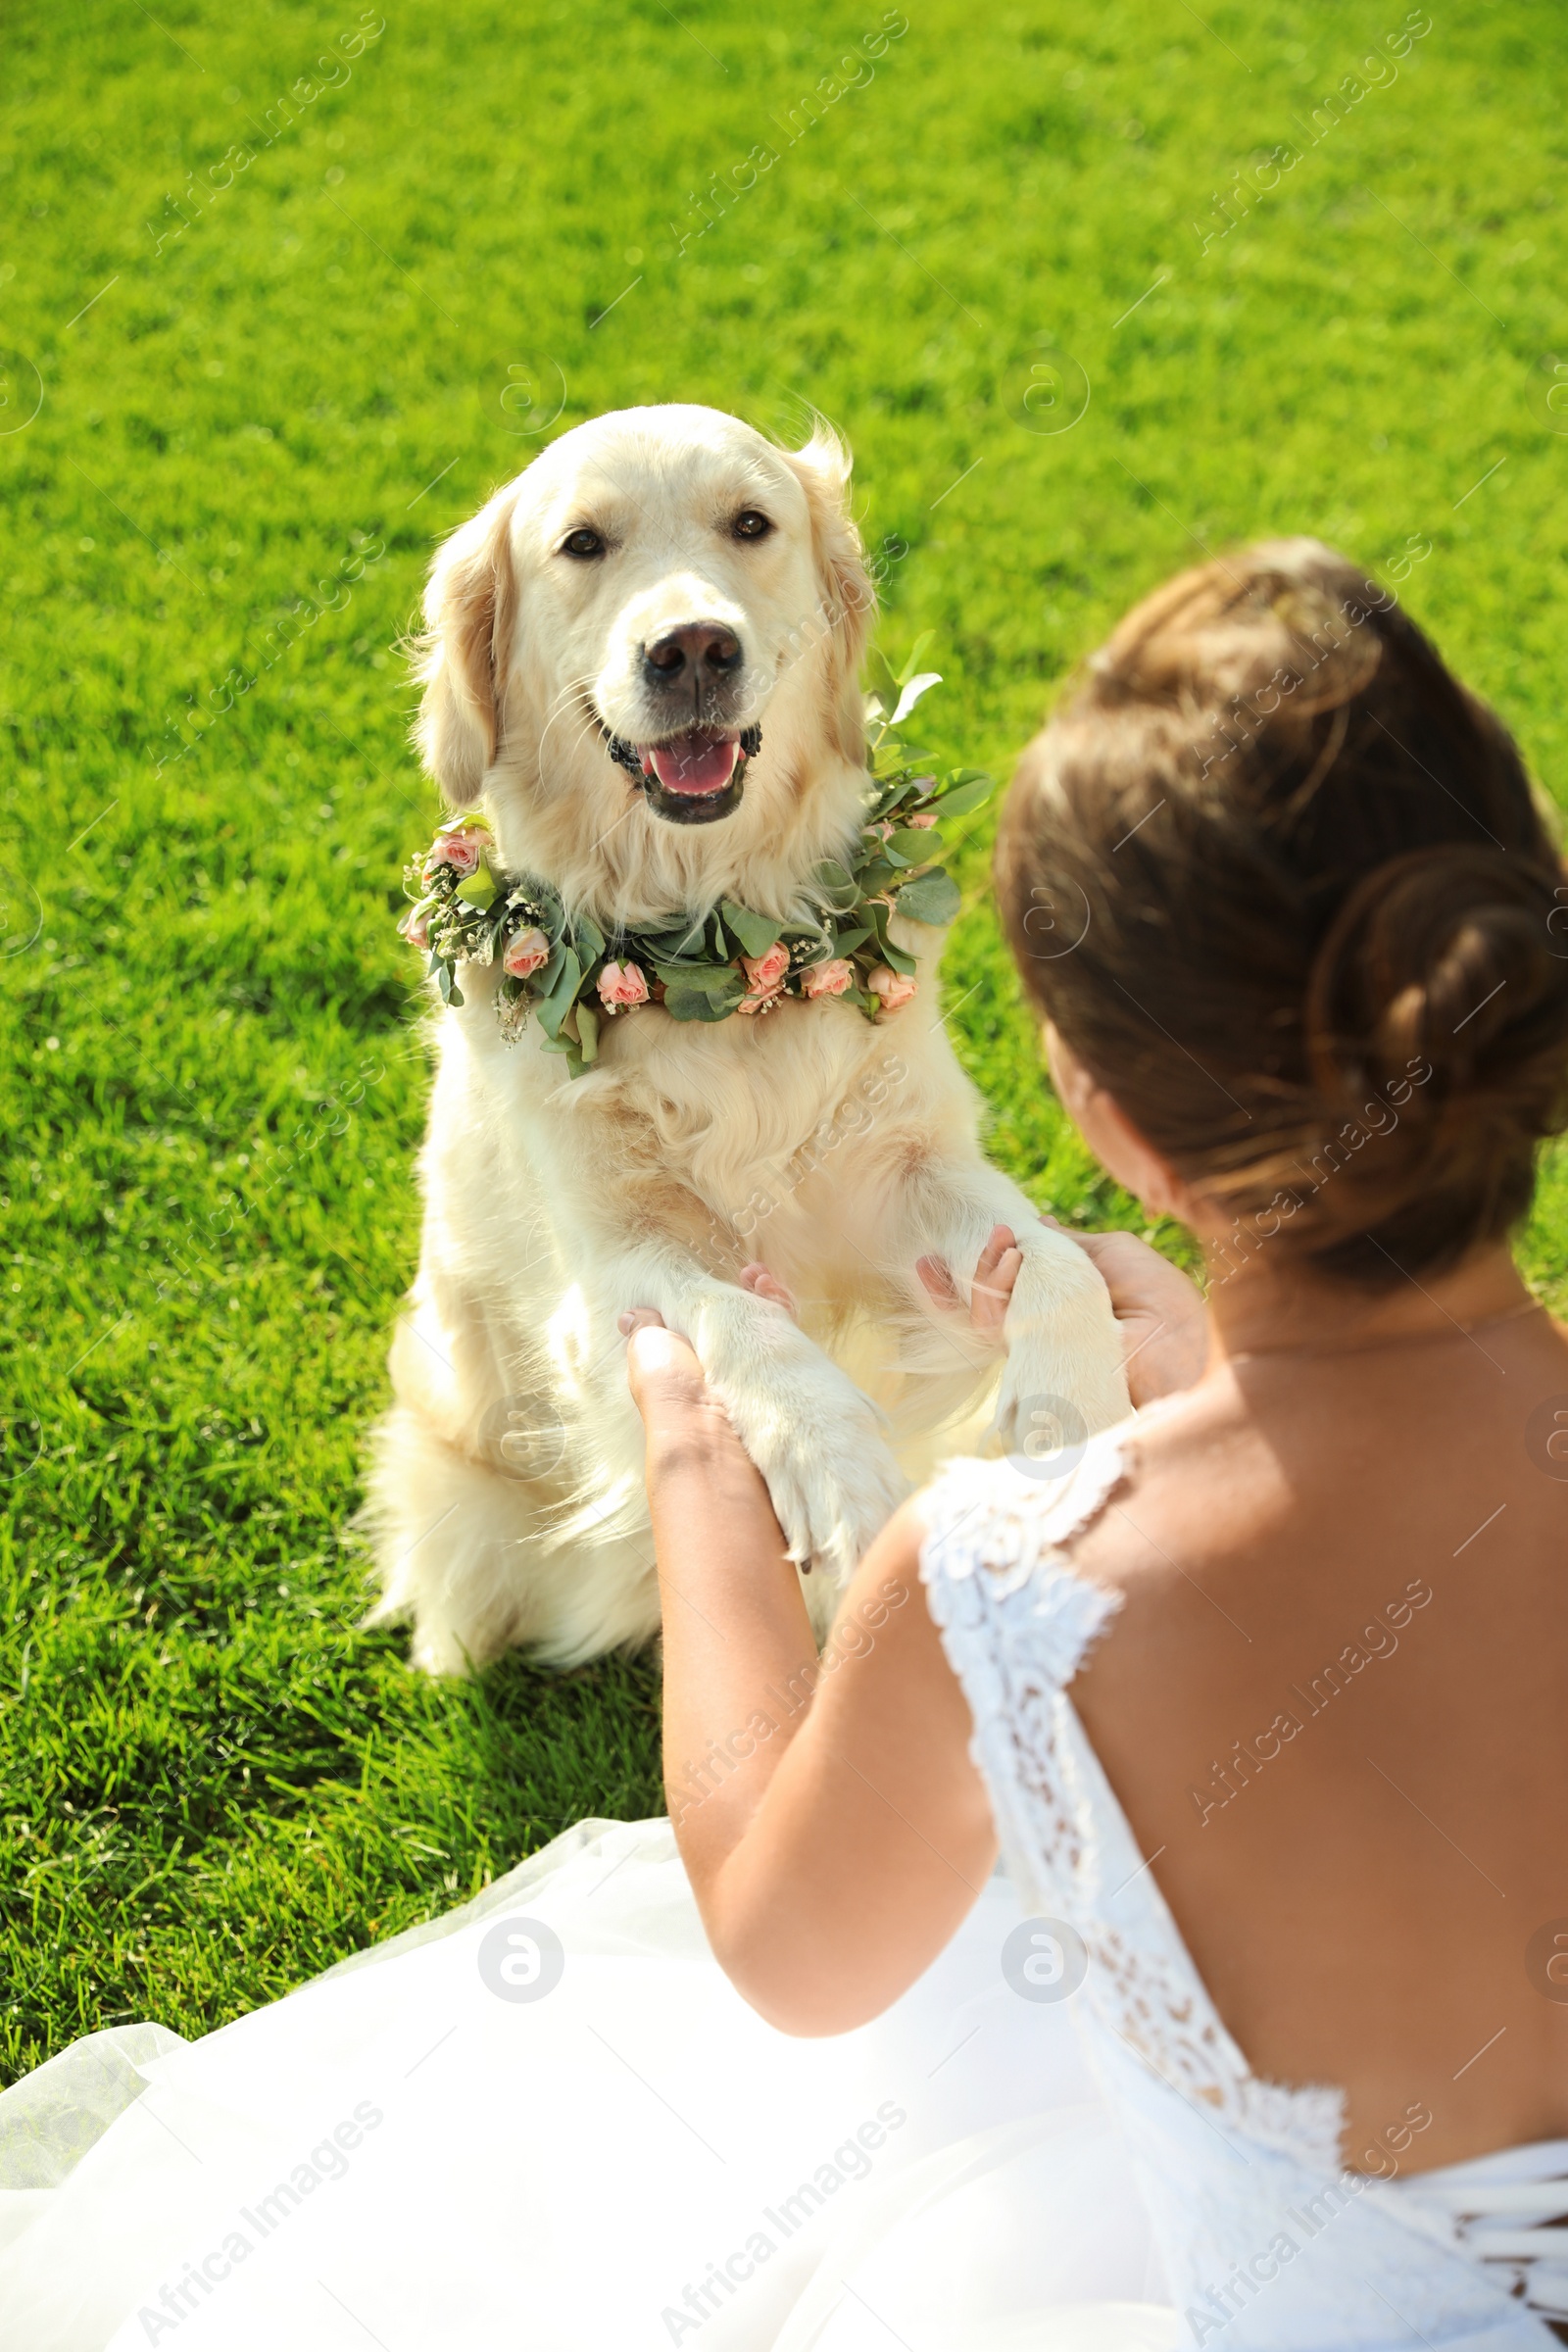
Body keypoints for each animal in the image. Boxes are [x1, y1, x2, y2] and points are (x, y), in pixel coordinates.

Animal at [368, 404, 1128, 1674]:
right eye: (582, 544)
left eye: (750, 525)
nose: (691, 650)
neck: (716, 961)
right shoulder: (609, 1265)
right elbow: (743, 1327)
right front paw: (835, 1465)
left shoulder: (907, 1168)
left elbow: (1056, 1260)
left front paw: (1082, 1408)